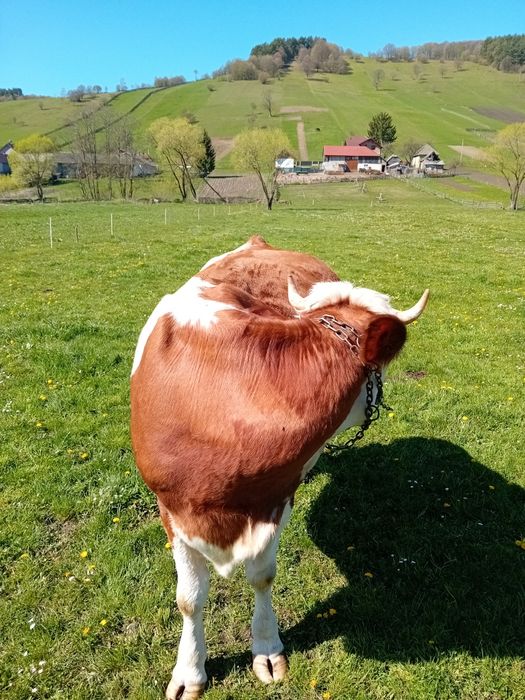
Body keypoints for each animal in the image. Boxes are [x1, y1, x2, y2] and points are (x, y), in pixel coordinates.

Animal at [130, 235, 429, 699]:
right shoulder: (172, 509)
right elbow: (189, 598)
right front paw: (190, 671)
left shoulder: (276, 499)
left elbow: (262, 577)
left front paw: (267, 648)